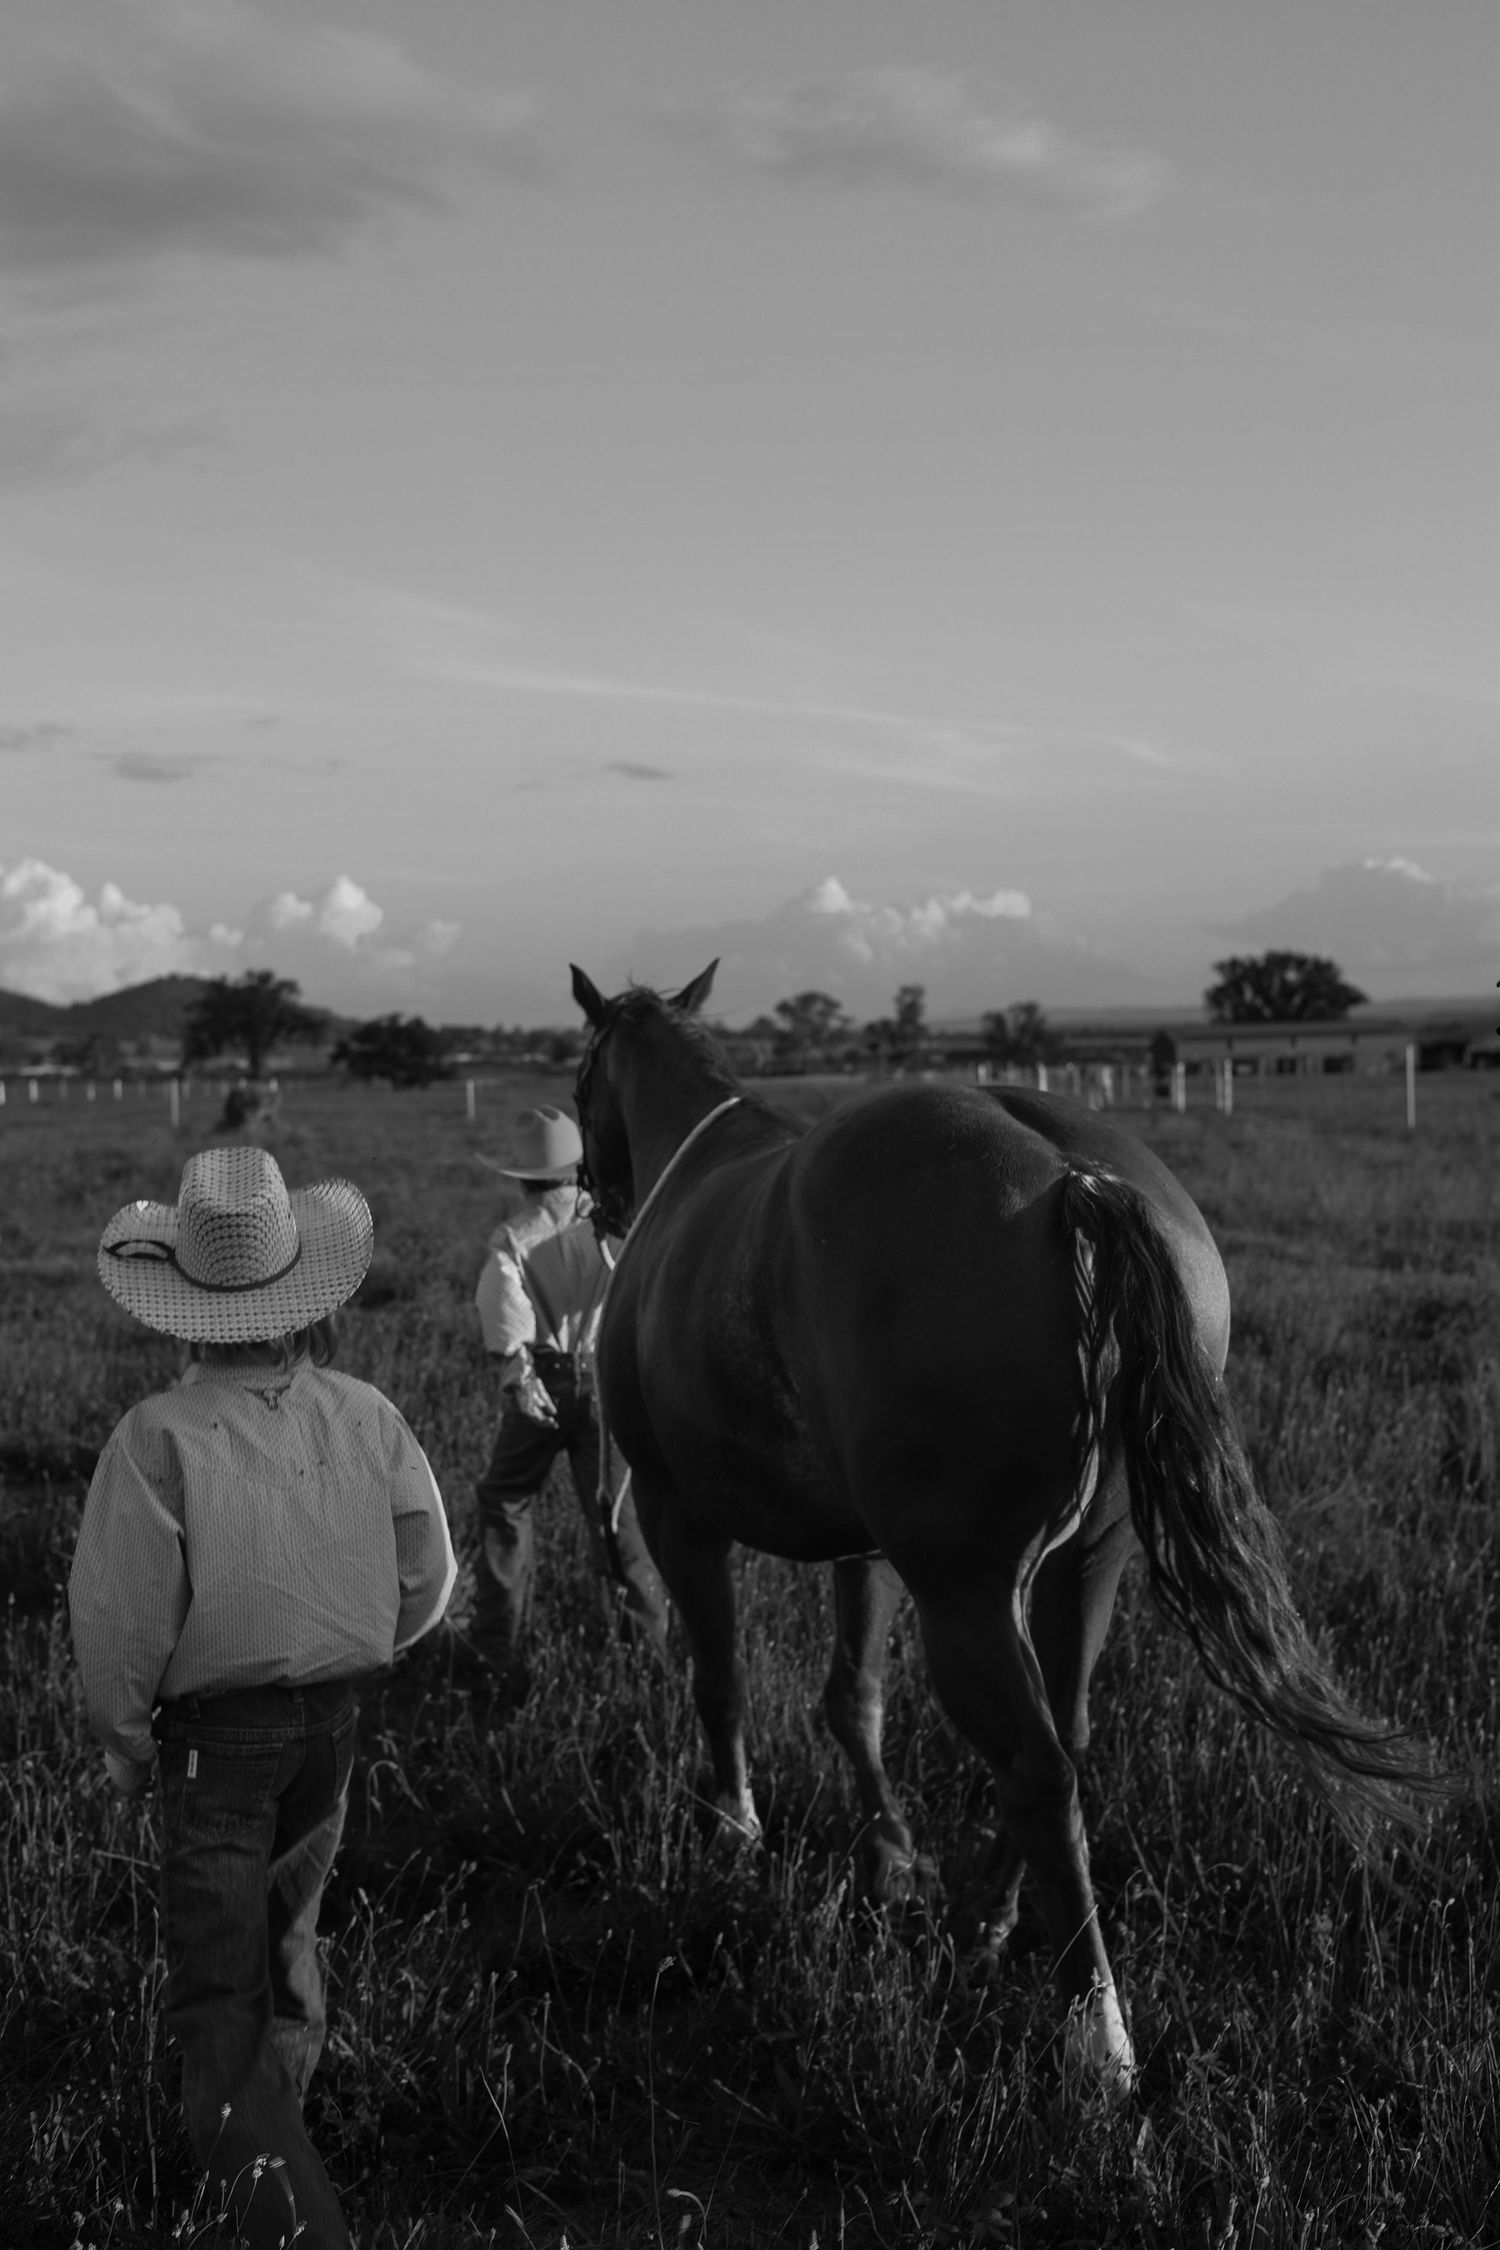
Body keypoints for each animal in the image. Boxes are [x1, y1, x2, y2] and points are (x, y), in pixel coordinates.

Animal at [569, 960, 1433, 2087]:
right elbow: (855, 1700)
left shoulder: (679, 1515)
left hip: (968, 1596)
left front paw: (734, 1827)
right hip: (1079, 1572)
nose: (594, 1196)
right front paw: (888, 1856)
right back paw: (985, 1922)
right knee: (1065, 1739)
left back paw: (1096, 2037)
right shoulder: (867, 1551)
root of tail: (1076, 1182)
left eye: (579, 1077)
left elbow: (720, 1682)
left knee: (1036, 1767)